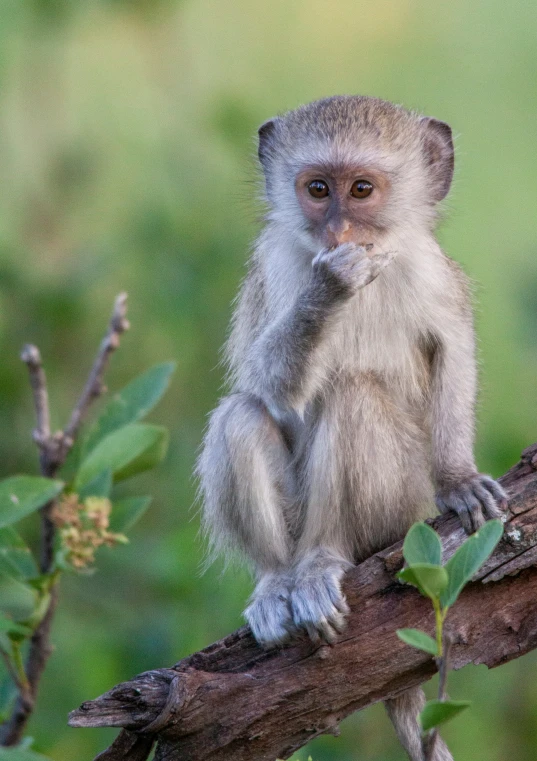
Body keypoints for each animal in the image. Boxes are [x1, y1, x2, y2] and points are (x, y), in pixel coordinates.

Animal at [195, 95, 504, 760]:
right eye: (318, 189)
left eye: (361, 190)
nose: (339, 233)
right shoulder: (271, 265)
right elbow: (267, 383)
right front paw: (330, 283)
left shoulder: (432, 273)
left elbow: (453, 354)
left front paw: (459, 480)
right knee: (240, 415)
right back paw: (281, 583)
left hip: (401, 511)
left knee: (354, 396)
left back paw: (323, 562)